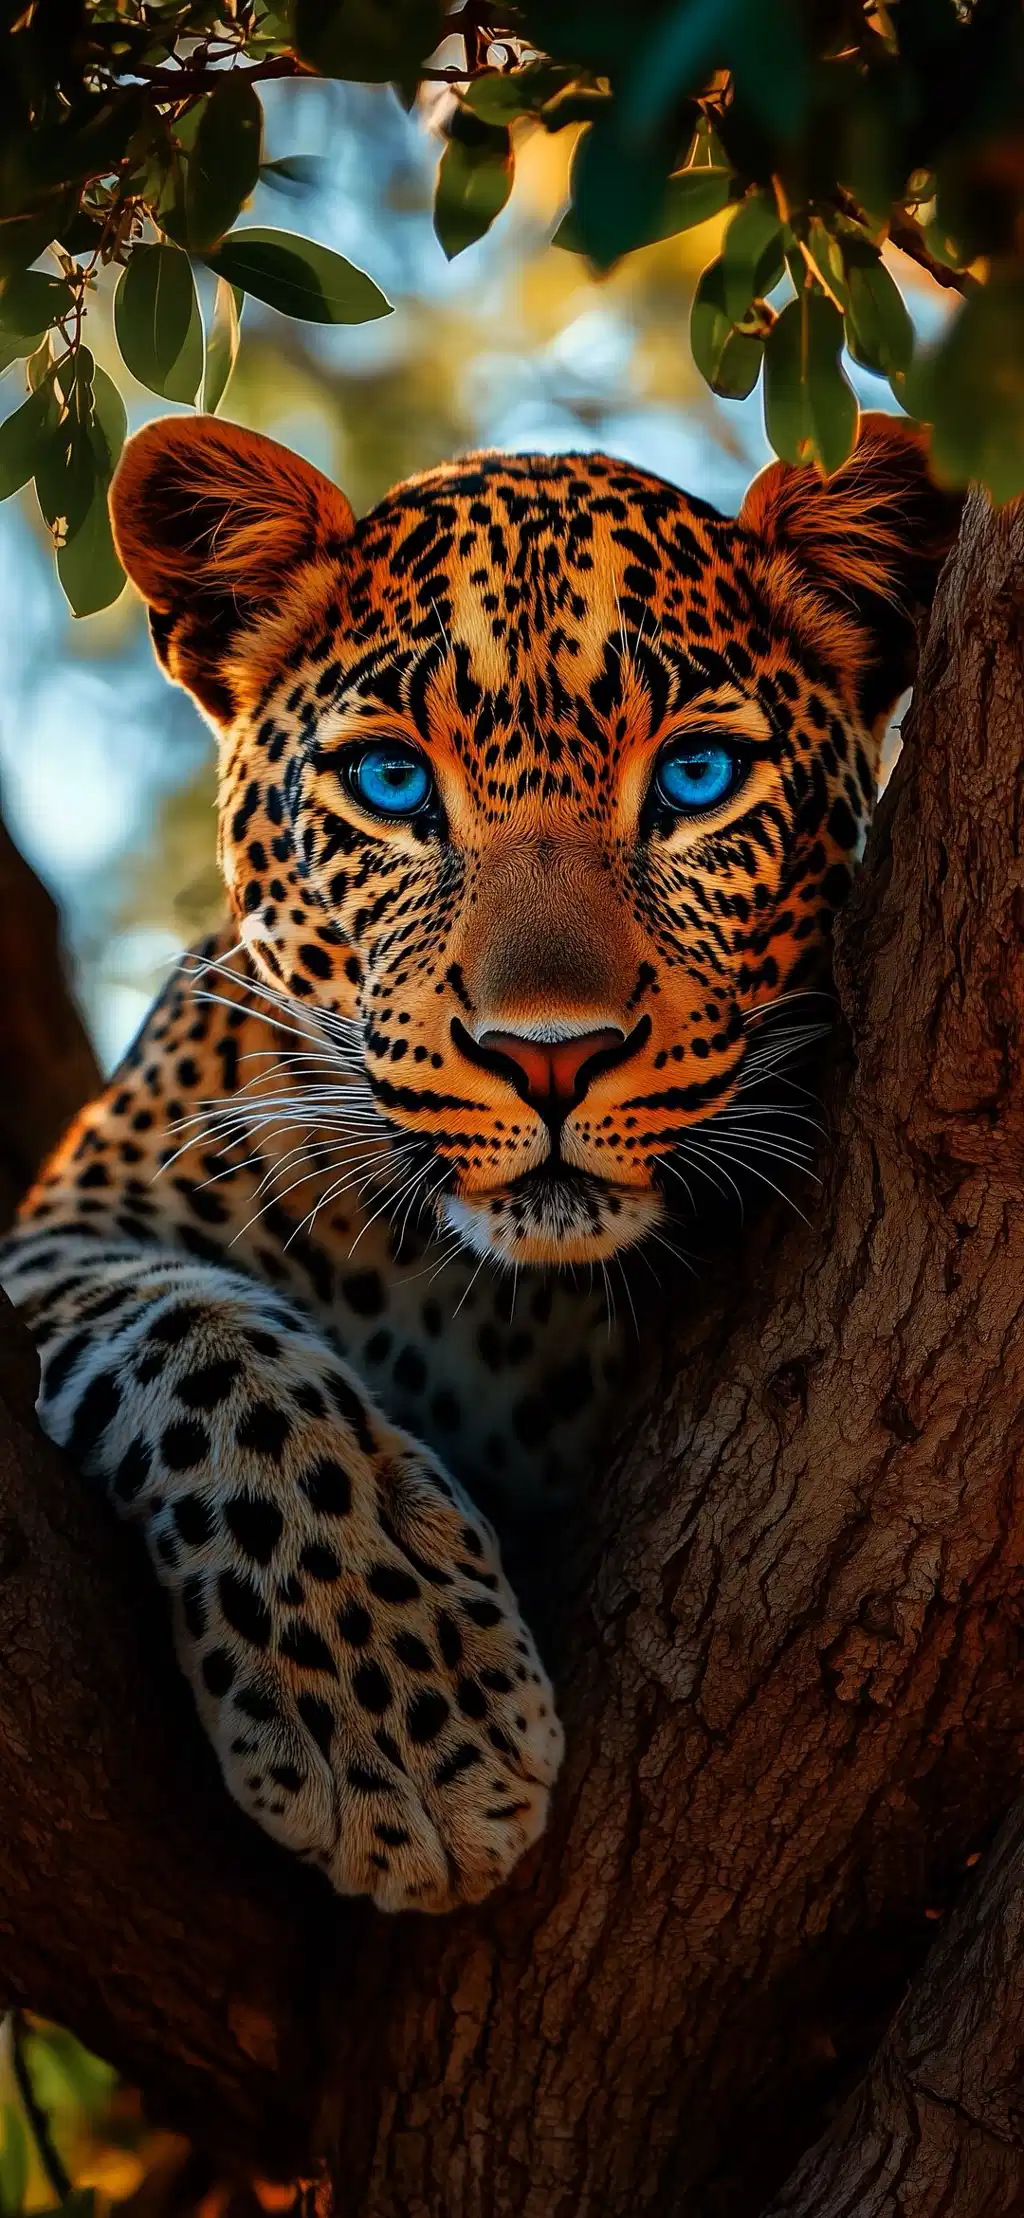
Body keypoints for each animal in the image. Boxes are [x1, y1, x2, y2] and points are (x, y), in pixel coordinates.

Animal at [0, 410, 961, 1914]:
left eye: (697, 778)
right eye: (393, 783)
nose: (550, 1055)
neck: (503, 1300)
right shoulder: (63, 1233)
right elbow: (201, 1335)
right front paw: (401, 1719)